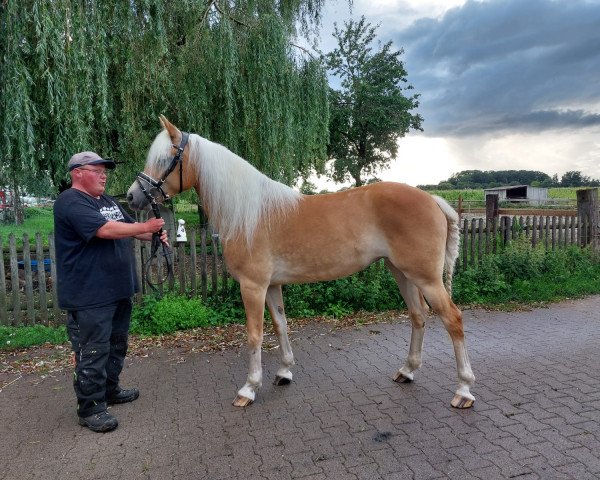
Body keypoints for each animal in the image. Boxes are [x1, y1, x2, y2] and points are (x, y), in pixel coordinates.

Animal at [125, 115, 474, 408]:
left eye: (164, 160)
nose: (131, 196)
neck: (247, 213)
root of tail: (432, 199)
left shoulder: (252, 286)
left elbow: (255, 334)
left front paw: (249, 388)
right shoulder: (271, 286)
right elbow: (280, 325)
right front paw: (284, 373)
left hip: (426, 278)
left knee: (453, 319)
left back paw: (464, 390)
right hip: (402, 272)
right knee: (418, 316)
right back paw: (407, 371)